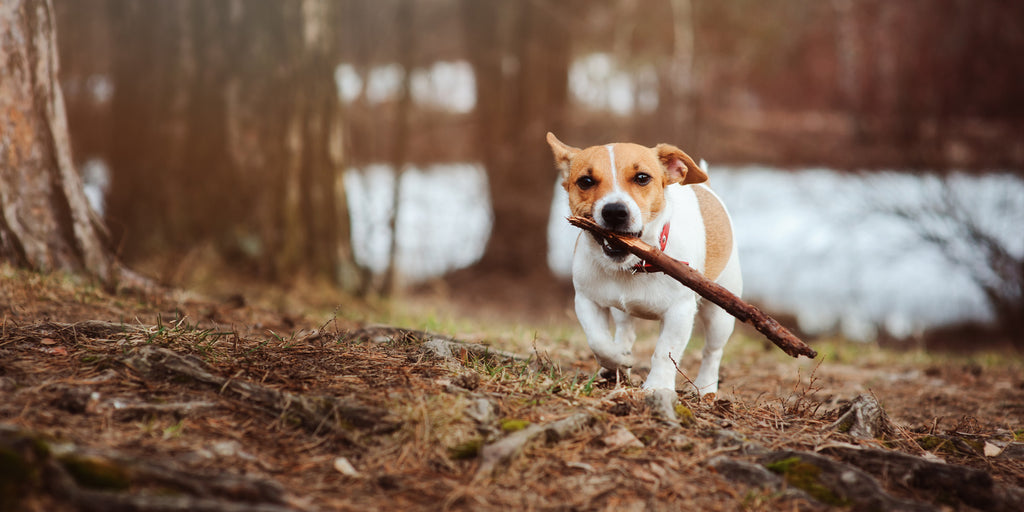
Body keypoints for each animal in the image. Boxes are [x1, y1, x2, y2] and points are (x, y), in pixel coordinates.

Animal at [544, 132, 745, 395]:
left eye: (642, 178)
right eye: (585, 181)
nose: (614, 211)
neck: (633, 266)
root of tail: (706, 187)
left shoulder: (679, 312)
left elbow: (664, 351)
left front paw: (657, 386)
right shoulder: (587, 301)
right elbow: (598, 341)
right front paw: (618, 360)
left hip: (720, 313)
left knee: (713, 351)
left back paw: (705, 387)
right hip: (621, 310)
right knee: (625, 332)